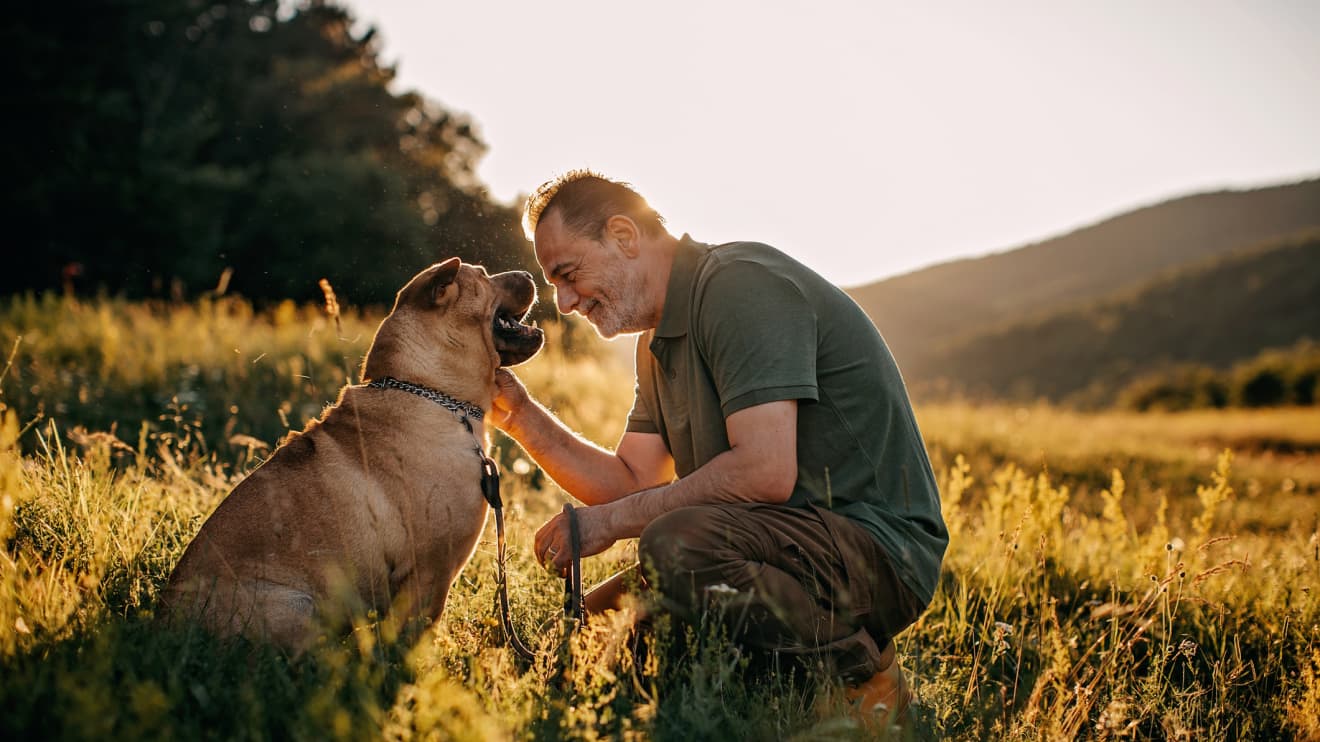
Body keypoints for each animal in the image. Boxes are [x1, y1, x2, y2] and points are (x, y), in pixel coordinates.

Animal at [159, 258, 541, 646]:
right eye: (482, 275)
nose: (529, 273)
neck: (431, 392)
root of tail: (166, 619)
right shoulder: (431, 571)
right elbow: (413, 635)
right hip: (296, 606)